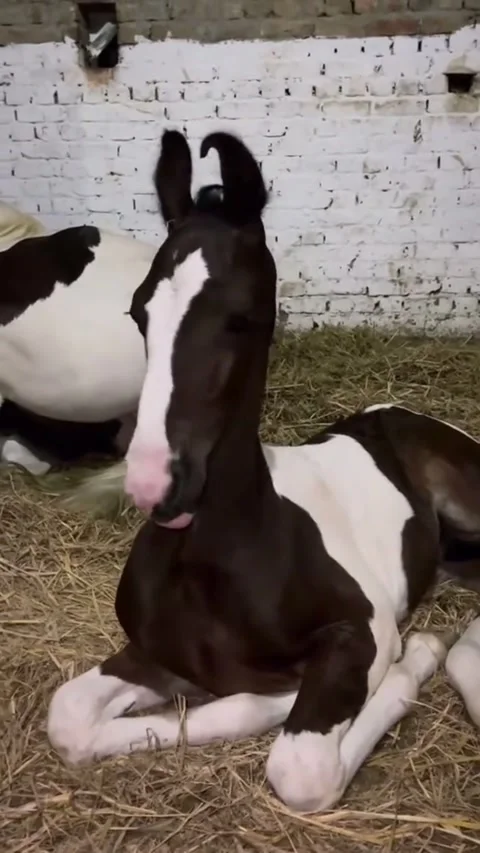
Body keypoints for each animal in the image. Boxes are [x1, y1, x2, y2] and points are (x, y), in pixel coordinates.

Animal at [47, 129, 480, 813]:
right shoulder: (152, 653)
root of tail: (397, 411)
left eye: (241, 317)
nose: (154, 487)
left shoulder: (362, 634)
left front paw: (417, 657)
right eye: (139, 312)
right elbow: (70, 715)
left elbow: (302, 764)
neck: (215, 559)